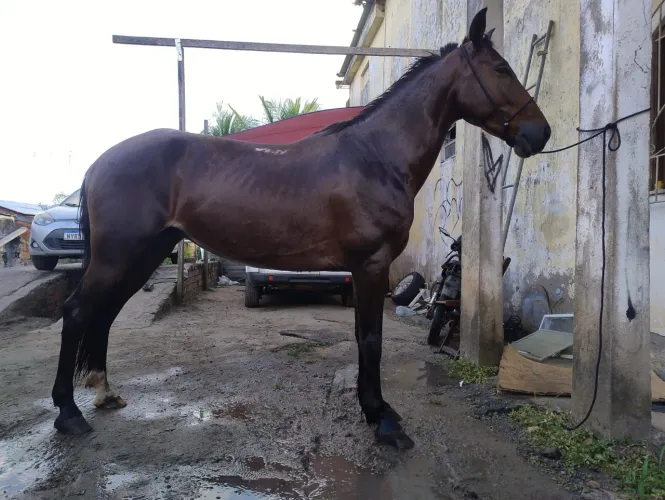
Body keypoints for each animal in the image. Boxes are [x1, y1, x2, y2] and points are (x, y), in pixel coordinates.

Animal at [51, 8, 550, 449]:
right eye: (501, 68)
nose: (540, 133)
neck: (374, 157)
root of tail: (100, 163)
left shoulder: (361, 271)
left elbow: (366, 337)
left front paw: (375, 410)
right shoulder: (371, 265)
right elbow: (371, 339)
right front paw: (383, 420)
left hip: (143, 254)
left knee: (104, 313)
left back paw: (103, 393)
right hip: (119, 256)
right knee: (77, 312)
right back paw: (69, 414)